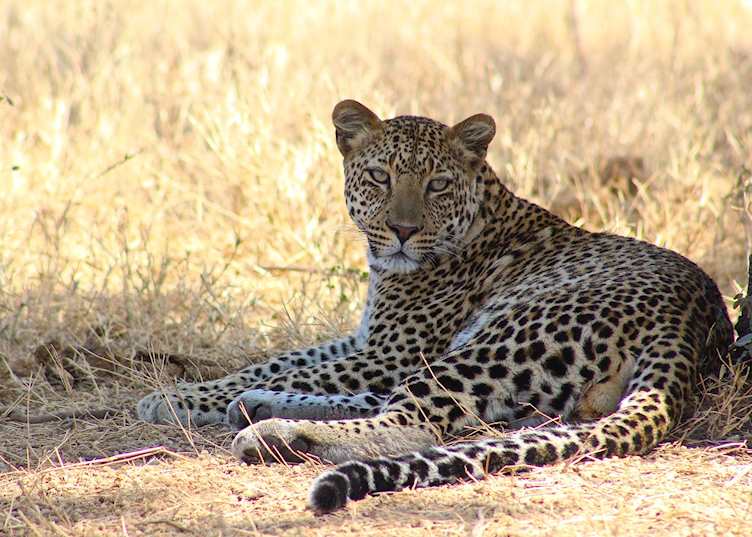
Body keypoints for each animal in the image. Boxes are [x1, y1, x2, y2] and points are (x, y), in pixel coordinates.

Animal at [137, 99, 733, 514]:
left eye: (438, 184)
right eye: (380, 177)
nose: (402, 230)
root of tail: (693, 316)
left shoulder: (390, 351)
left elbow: (297, 370)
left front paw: (174, 398)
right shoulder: (368, 340)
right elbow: (279, 360)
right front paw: (200, 393)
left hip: (507, 335)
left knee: (414, 423)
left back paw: (273, 433)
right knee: (410, 410)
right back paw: (261, 408)